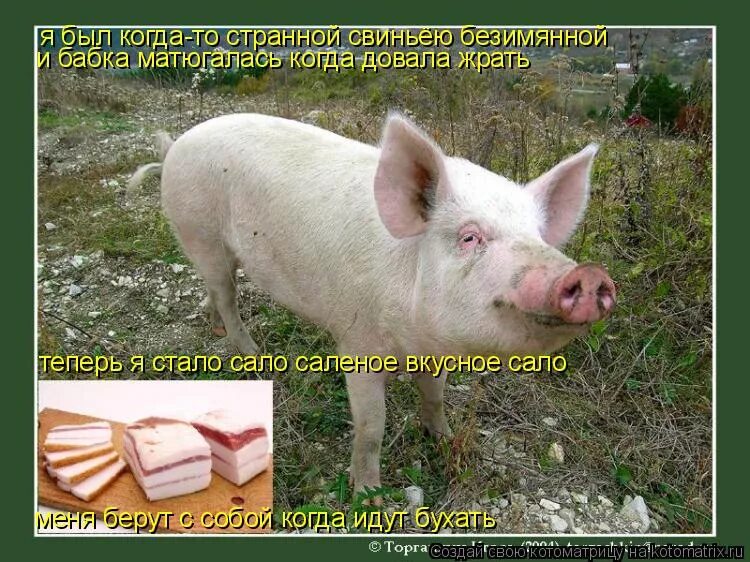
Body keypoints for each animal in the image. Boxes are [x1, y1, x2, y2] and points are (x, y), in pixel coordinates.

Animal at [128, 113, 615, 494]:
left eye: (538, 237)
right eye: (469, 237)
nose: (590, 275)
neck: (413, 339)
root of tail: (175, 147)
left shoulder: (433, 350)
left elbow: (435, 396)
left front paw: (444, 439)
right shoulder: (357, 341)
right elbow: (371, 425)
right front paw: (369, 495)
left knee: (217, 290)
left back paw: (216, 328)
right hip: (201, 232)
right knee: (227, 295)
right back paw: (252, 354)